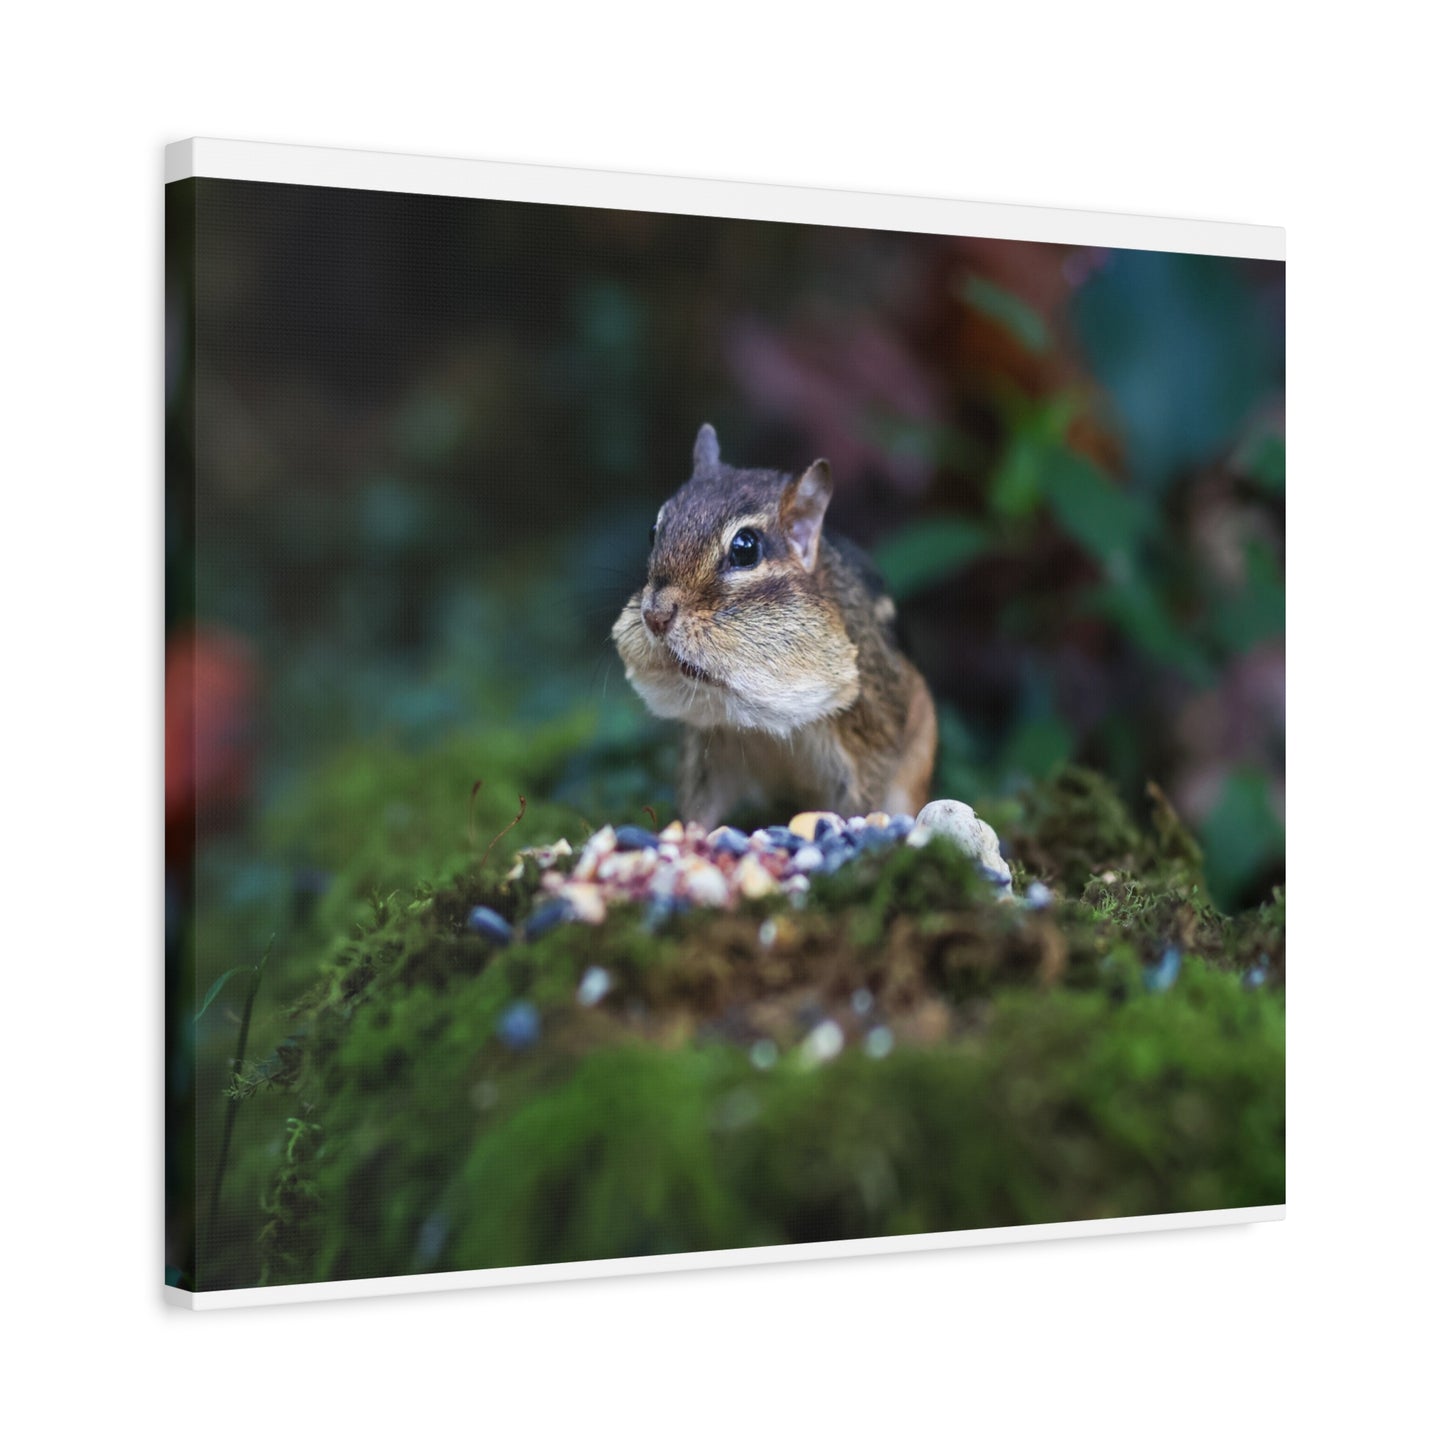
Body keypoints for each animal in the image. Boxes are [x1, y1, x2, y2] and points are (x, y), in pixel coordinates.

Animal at [612, 423, 937, 830]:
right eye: (653, 531)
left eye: (745, 548)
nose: (655, 616)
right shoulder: (709, 748)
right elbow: (699, 806)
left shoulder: (869, 740)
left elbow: (862, 800)